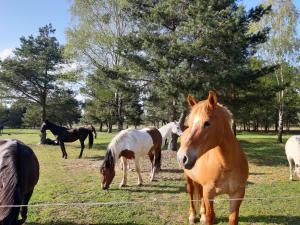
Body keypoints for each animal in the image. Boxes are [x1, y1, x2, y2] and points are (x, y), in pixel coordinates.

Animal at [178, 91, 248, 225]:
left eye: (207, 123)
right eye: (190, 123)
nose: (182, 157)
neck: (226, 165)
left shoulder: (237, 194)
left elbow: (233, 218)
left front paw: (204, 216)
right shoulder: (209, 193)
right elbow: (210, 215)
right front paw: (204, 217)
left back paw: (202, 216)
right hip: (189, 178)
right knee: (191, 193)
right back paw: (192, 216)